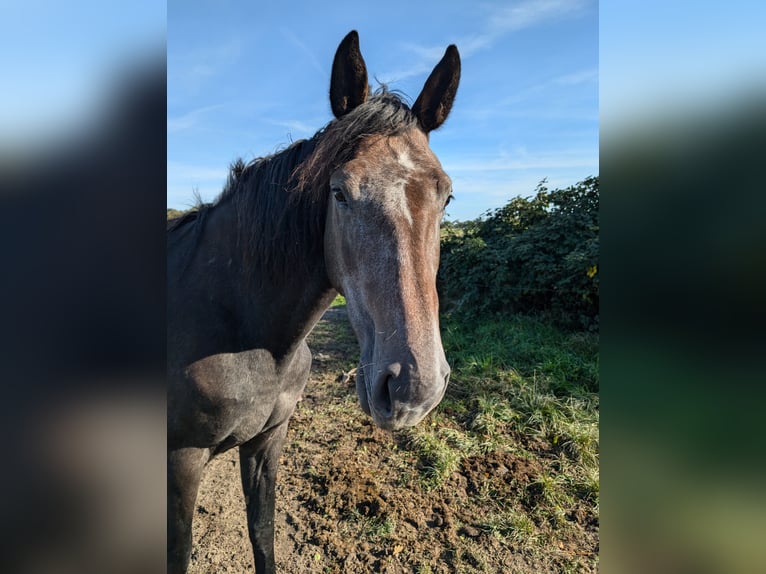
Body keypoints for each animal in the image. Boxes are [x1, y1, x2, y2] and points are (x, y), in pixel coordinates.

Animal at [168, 32, 462, 574]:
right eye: (340, 193)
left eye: (446, 197)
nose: (414, 388)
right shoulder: (181, 460)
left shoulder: (268, 441)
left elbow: (262, 535)